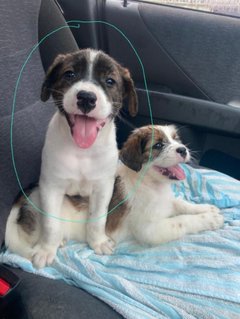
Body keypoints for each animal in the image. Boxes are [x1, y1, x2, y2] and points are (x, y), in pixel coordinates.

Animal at [5, 126, 223, 262]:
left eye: (176, 140)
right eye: (159, 145)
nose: (183, 150)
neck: (149, 184)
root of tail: (26, 193)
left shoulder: (167, 203)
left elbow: (182, 205)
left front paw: (207, 209)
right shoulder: (149, 229)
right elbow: (181, 221)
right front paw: (210, 219)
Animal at [15, 49, 138, 270]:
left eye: (110, 81)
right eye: (69, 74)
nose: (87, 98)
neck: (82, 152)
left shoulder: (103, 187)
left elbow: (98, 219)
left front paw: (98, 242)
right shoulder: (51, 187)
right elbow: (51, 223)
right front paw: (46, 249)